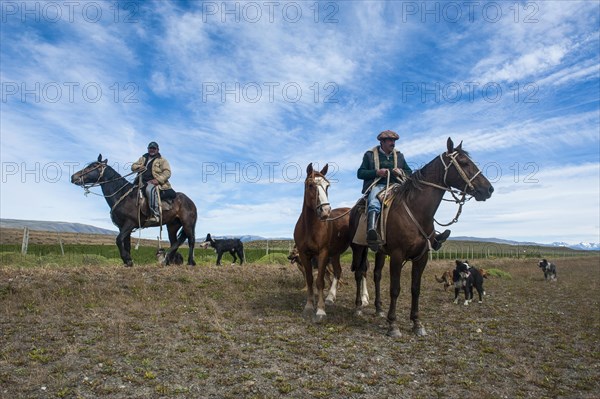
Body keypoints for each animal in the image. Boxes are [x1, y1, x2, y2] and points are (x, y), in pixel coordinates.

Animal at [294, 162, 352, 322]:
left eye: (327, 186)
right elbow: (309, 280)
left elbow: (320, 281)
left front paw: (320, 310)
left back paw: (364, 300)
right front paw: (309, 306)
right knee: (338, 271)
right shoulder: (304, 254)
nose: (325, 211)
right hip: (335, 254)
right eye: (310, 185)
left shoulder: (323, 253)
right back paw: (331, 297)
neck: (310, 227)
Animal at [350, 138, 494, 338]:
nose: (489, 189)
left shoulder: (422, 257)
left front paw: (417, 323)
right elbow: (395, 289)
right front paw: (393, 325)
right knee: (358, 273)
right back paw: (358, 308)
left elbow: (415, 289)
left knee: (376, 275)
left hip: (379, 251)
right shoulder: (397, 255)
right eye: (464, 162)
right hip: (358, 247)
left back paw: (379, 309)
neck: (416, 210)